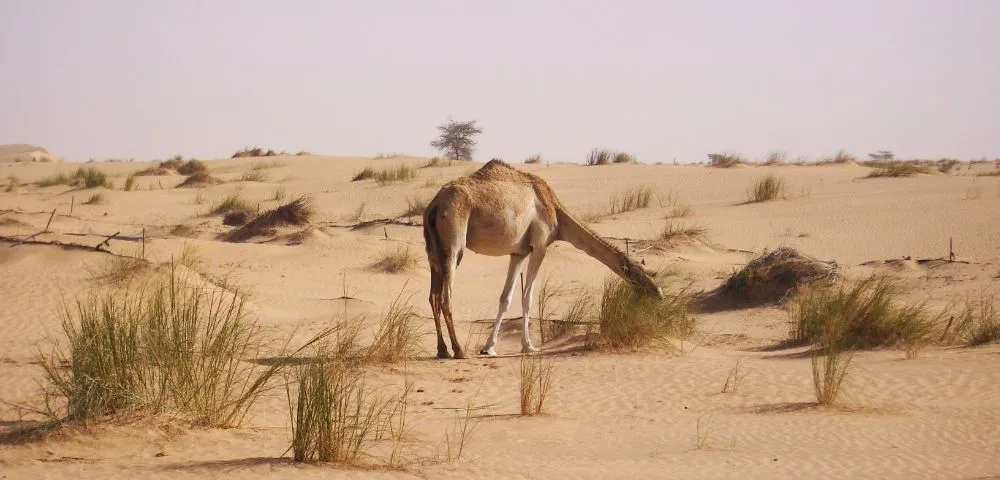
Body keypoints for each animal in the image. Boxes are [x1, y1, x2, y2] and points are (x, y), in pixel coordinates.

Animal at [423, 159, 663, 359]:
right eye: (641, 277)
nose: (659, 295)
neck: (557, 211)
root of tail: (433, 206)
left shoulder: (518, 252)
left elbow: (505, 298)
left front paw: (489, 347)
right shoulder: (539, 246)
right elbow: (527, 297)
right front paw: (529, 347)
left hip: (433, 250)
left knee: (433, 297)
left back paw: (442, 350)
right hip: (454, 244)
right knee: (445, 296)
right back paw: (459, 351)